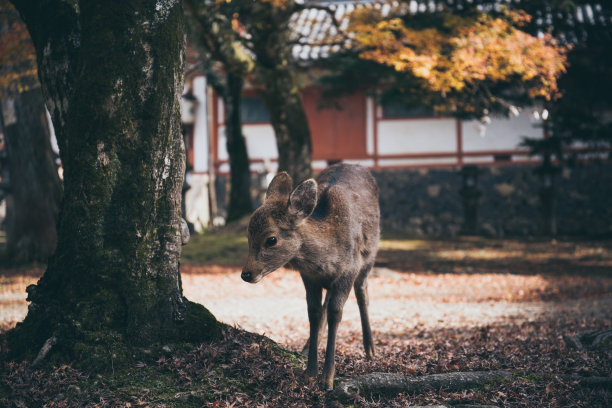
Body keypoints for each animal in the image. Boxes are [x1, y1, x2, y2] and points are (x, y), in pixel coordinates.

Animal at [239, 162, 378, 388]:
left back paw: (371, 350)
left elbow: (336, 313)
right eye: (248, 236)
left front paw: (328, 379)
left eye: (271, 239)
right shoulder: (309, 277)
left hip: (370, 255)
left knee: (362, 291)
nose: (246, 274)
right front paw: (310, 372)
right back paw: (306, 348)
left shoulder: (349, 269)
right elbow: (313, 312)